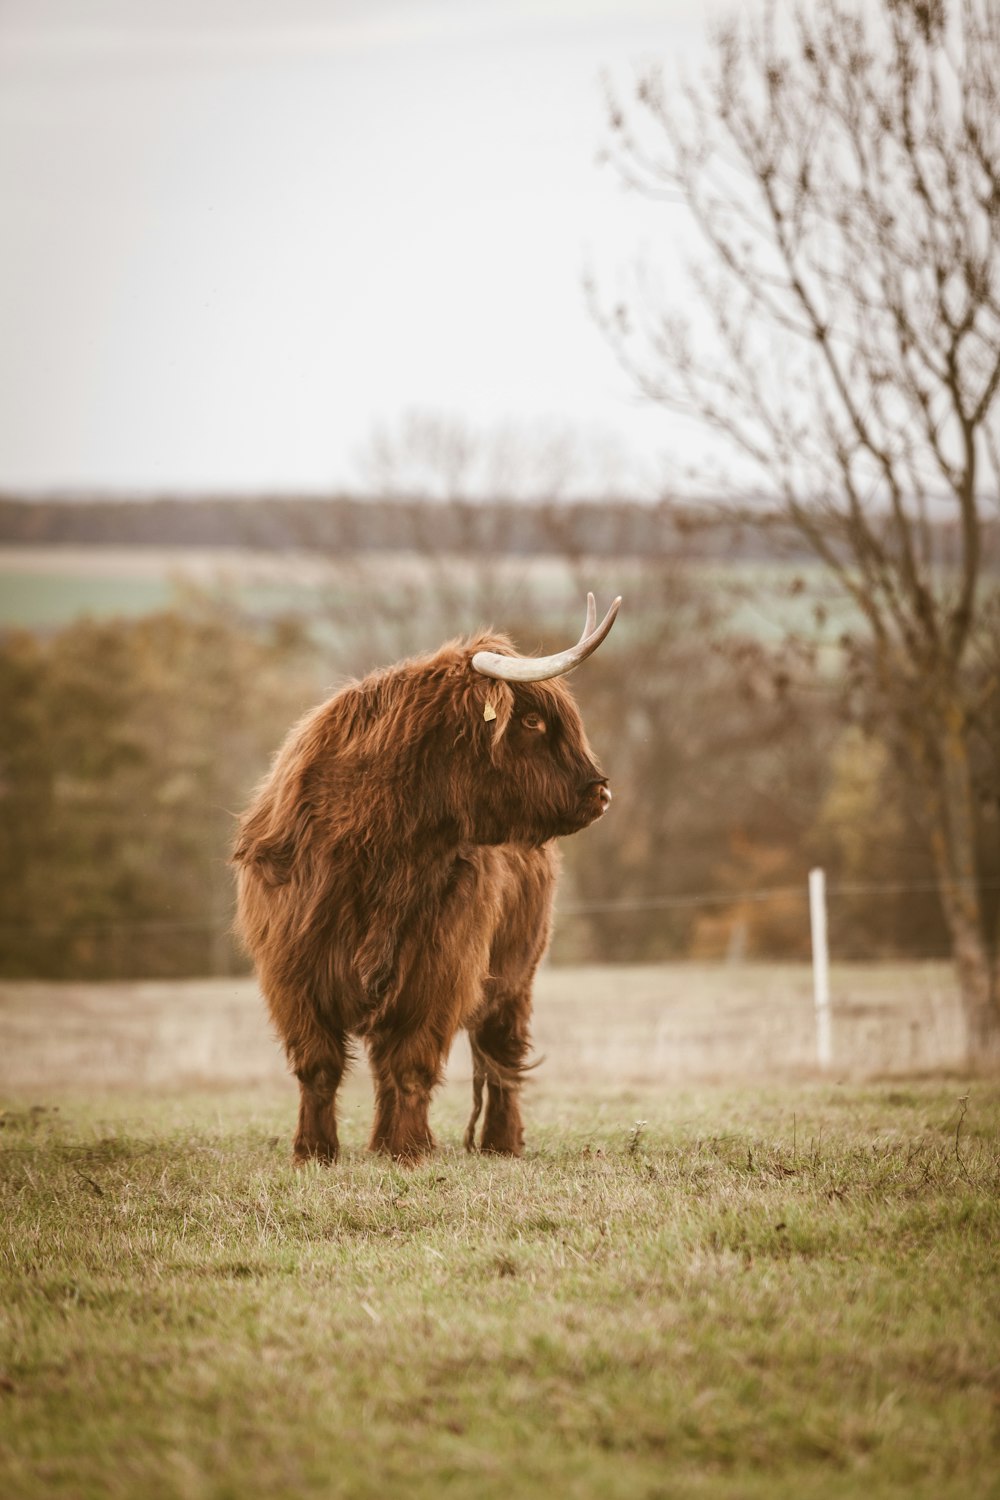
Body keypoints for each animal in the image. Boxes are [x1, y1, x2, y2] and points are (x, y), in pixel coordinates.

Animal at [235, 591, 620, 1164]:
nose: (600, 791)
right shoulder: (294, 968)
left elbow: (410, 1064)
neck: (381, 844)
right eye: (532, 722)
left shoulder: (439, 966)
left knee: (502, 1052)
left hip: (518, 971)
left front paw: (408, 1150)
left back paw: (499, 1143)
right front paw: (314, 1151)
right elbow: (318, 1065)